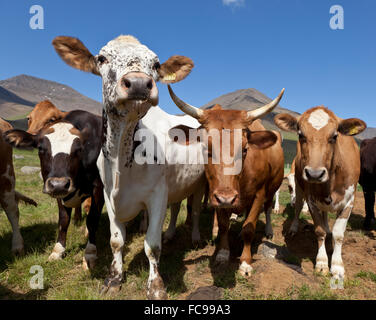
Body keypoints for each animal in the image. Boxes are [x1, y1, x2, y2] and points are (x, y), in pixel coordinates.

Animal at [4, 109, 104, 268]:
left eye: (79, 149)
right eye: (40, 148)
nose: (59, 184)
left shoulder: (98, 187)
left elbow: (92, 219)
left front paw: (90, 254)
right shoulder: (59, 193)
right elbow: (63, 220)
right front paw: (58, 251)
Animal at [51, 35, 207, 300]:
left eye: (156, 64)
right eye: (102, 58)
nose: (138, 84)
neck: (121, 165)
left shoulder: (157, 196)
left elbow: (152, 246)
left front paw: (156, 286)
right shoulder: (106, 194)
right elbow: (116, 241)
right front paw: (114, 278)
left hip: (199, 184)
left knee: (195, 210)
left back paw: (195, 237)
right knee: (177, 207)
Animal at [168, 85, 284, 276]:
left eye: (245, 149)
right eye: (205, 147)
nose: (227, 197)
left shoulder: (259, 194)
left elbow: (249, 227)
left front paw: (245, 262)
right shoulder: (217, 195)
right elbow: (223, 225)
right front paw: (222, 253)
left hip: (272, 188)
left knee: (267, 209)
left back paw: (268, 231)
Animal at [274, 106, 366, 278]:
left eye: (335, 136)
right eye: (301, 135)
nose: (314, 174)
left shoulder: (350, 201)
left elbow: (338, 234)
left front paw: (337, 265)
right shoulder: (311, 200)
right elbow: (319, 230)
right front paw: (322, 262)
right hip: (300, 188)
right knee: (298, 208)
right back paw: (294, 228)